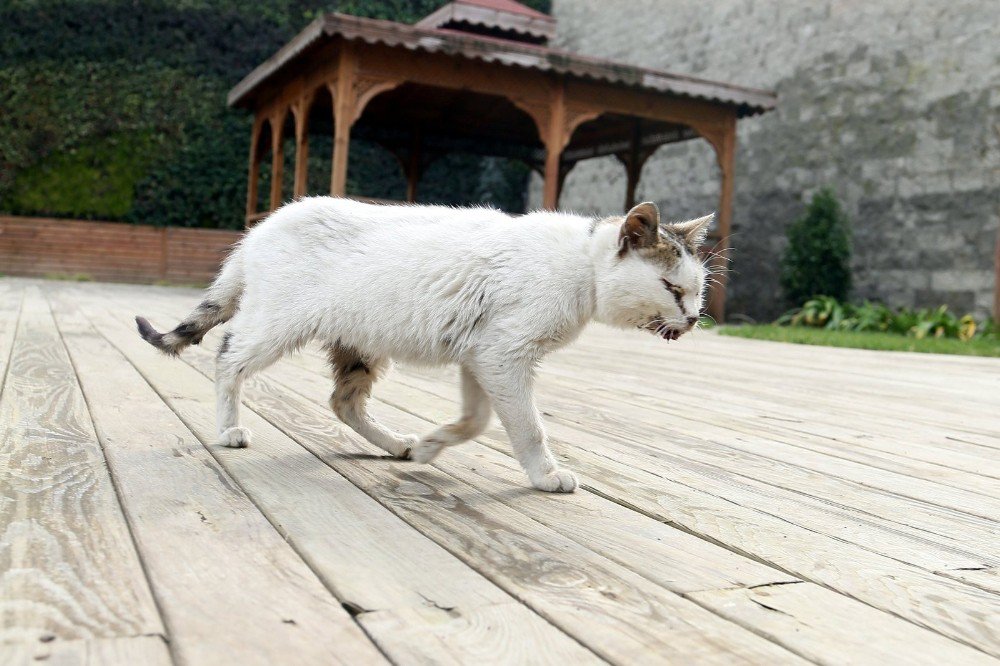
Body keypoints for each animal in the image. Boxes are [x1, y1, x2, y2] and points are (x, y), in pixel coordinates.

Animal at [139, 195, 712, 490]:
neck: (580, 267)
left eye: (697, 290)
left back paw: (397, 444)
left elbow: (476, 421)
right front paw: (547, 475)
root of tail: (261, 229)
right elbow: (527, 428)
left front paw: (434, 444)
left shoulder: (481, 356)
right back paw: (228, 429)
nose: (691, 319)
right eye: (671, 288)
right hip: (277, 325)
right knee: (226, 357)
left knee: (343, 402)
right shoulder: (503, 356)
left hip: (361, 346)